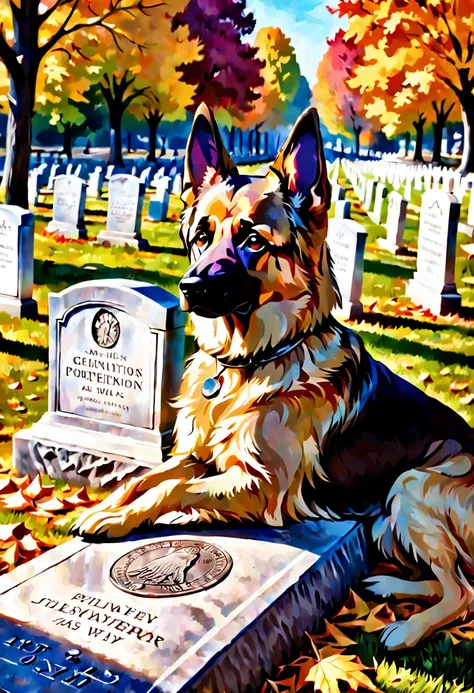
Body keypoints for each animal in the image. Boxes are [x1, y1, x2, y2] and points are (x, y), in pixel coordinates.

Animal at [72, 105, 474, 652]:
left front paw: (117, 519)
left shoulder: (260, 486)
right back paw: (391, 586)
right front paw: (106, 506)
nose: (188, 286)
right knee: (444, 580)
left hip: (411, 485)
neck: (251, 362)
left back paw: (405, 629)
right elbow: (146, 477)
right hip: (388, 519)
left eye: (253, 240)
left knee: (462, 591)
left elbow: (170, 491)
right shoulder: (196, 456)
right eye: (201, 236)